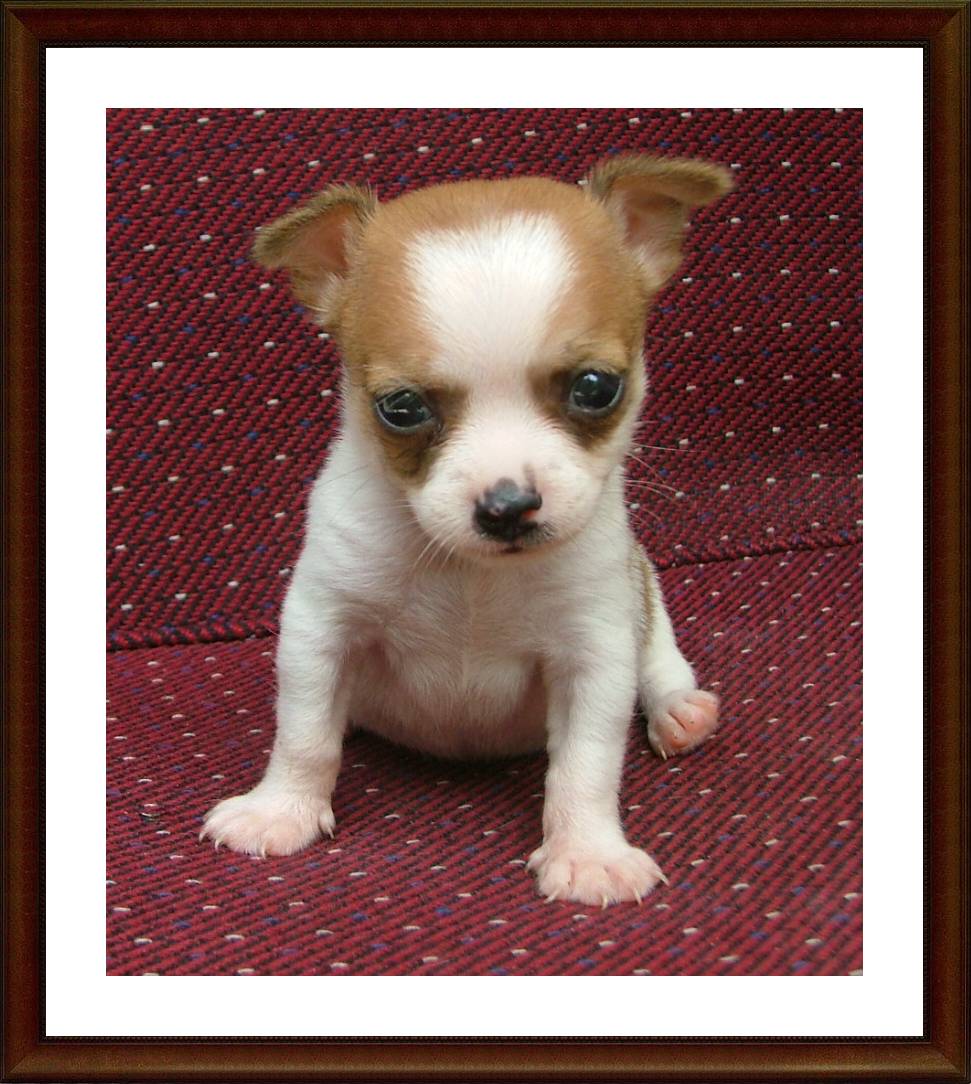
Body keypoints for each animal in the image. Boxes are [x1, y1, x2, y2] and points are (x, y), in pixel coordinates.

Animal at [202, 155, 731, 905]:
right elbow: (303, 734)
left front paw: (589, 852)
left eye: (596, 388)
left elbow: (587, 764)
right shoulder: (321, 632)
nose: (508, 506)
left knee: (659, 657)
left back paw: (678, 710)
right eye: (400, 408)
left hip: (642, 593)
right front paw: (282, 810)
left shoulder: (594, 655)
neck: (472, 576)